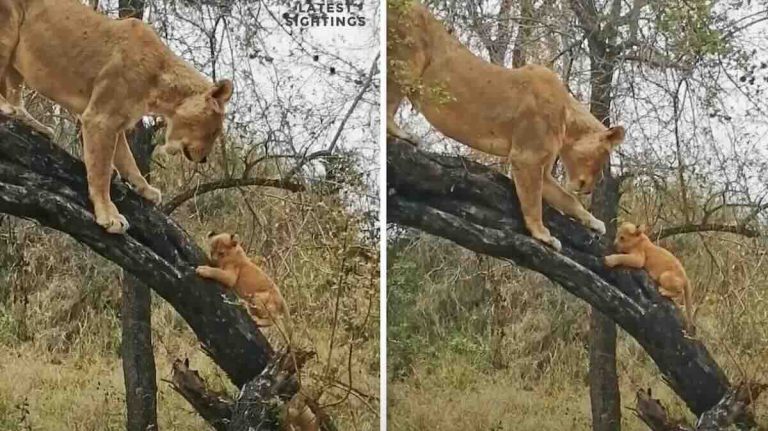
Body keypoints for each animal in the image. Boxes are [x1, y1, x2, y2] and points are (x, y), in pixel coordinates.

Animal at [0, 0, 233, 234]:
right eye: (213, 131)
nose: (204, 159)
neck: (160, 86)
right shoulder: (100, 118)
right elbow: (100, 170)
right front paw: (108, 215)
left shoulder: (117, 121)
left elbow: (127, 160)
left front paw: (145, 188)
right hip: (7, 30)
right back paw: (7, 108)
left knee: (14, 91)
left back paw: (33, 123)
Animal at [387, 0, 625, 250]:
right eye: (603, 157)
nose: (588, 189)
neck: (568, 122)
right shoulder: (526, 158)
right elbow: (533, 202)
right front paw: (542, 234)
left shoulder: (542, 168)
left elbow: (567, 199)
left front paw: (594, 222)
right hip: (407, 60)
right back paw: (403, 135)